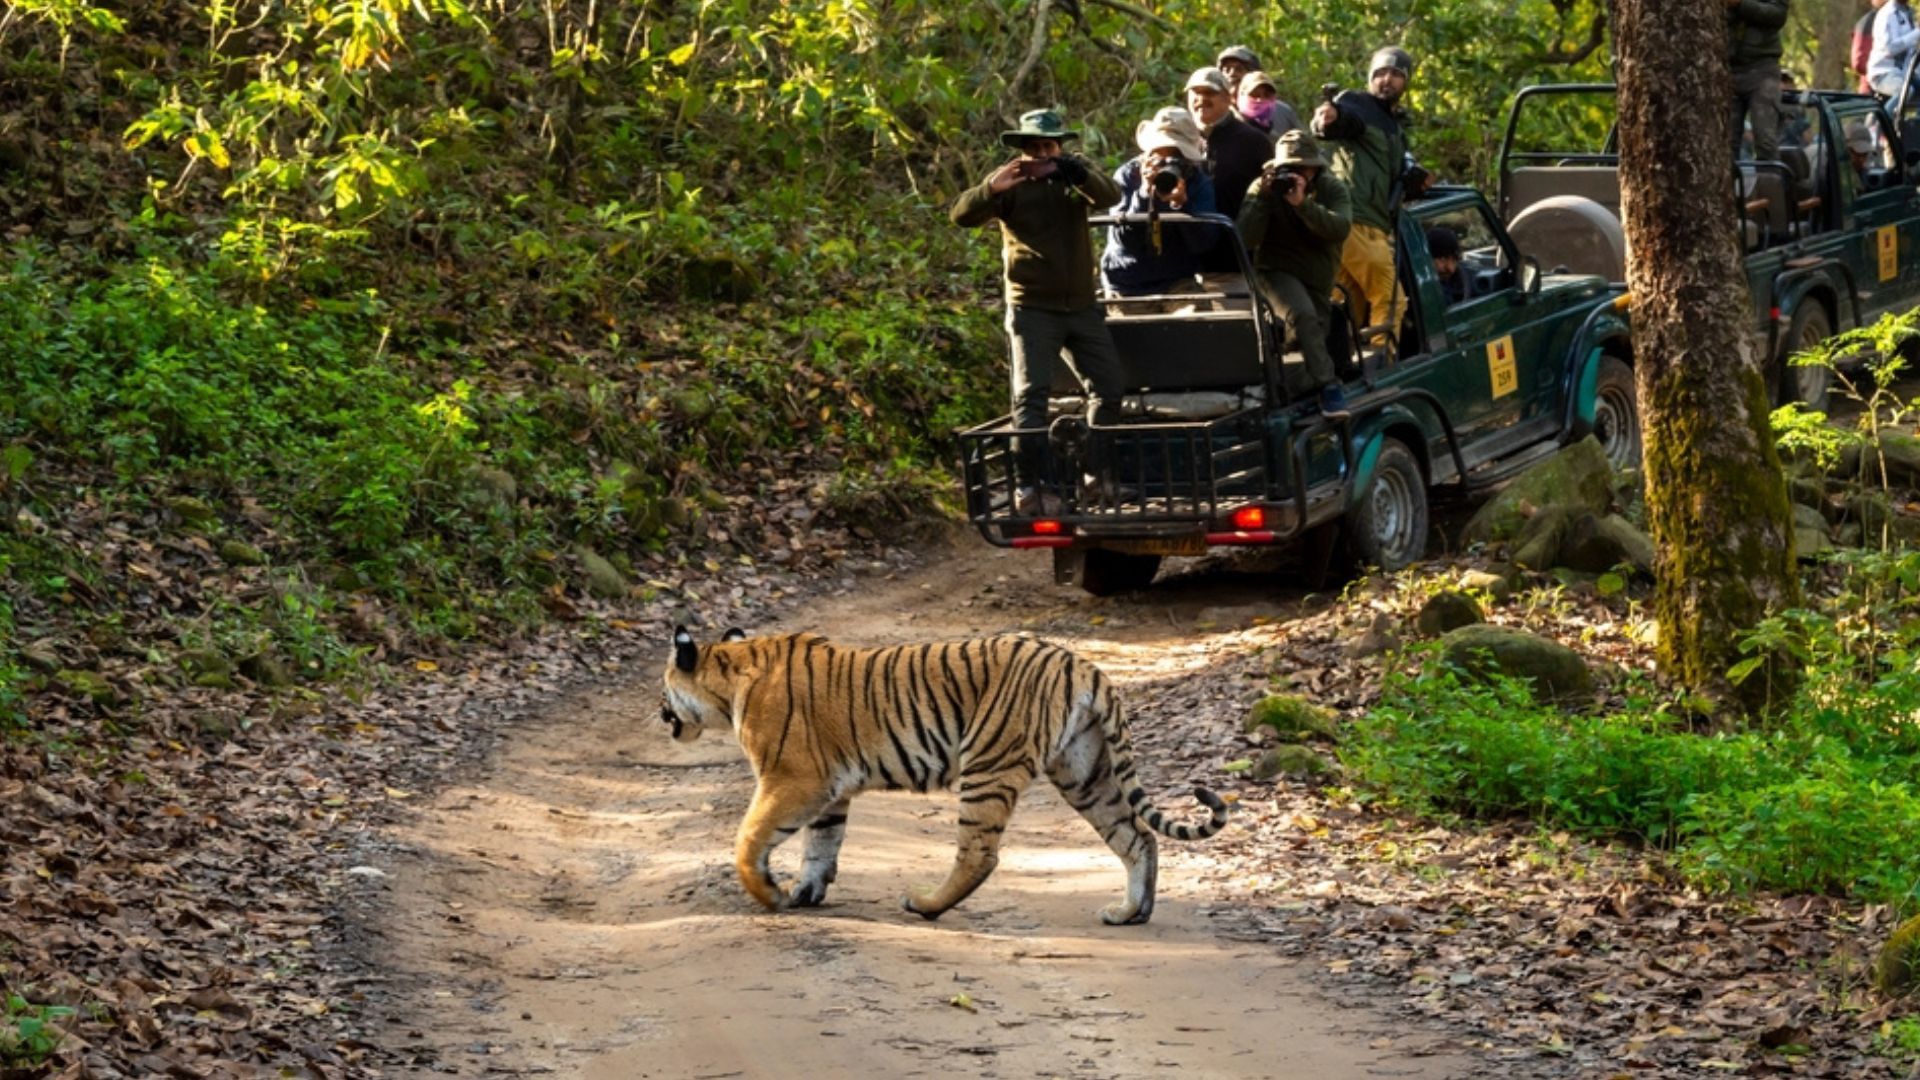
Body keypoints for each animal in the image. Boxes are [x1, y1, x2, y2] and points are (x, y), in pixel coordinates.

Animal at [659, 625, 1229, 925]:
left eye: (663, 688)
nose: (658, 711)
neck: (730, 673)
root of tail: (1082, 665)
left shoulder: (793, 780)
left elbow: (749, 839)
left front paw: (771, 895)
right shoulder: (830, 791)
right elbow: (821, 845)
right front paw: (805, 891)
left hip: (988, 762)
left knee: (979, 853)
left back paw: (925, 904)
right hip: (1085, 770)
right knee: (1137, 836)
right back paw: (1131, 911)